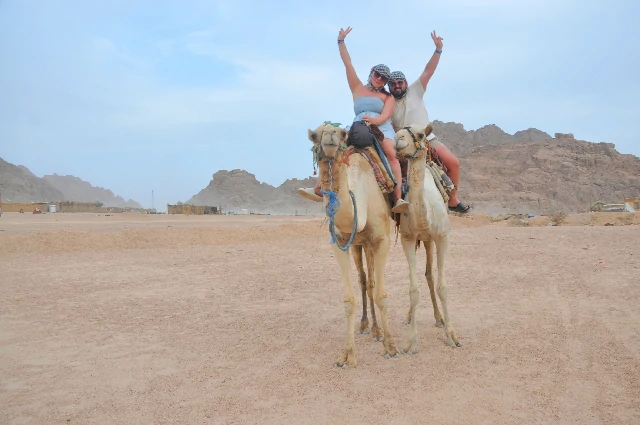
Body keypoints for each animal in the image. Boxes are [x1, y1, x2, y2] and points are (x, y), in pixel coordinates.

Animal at [308, 122, 399, 368]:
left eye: (342, 133)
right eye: (314, 135)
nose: (330, 135)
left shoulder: (382, 240)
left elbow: (382, 295)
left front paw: (391, 347)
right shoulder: (339, 243)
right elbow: (349, 300)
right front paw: (347, 355)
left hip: (371, 243)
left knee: (372, 282)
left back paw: (379, 331)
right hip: (359, 244)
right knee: (364, 280)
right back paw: (368, 326)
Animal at [394, 123, 462, 353]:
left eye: (421, 134)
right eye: (398, 132)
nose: (398, 138)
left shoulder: (442, 237)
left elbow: (443, 287)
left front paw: (452, 336)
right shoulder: (407, 238)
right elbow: (413, 290)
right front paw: (411, 342)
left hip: (430, 240)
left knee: (430, 274)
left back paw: (439, 319)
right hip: (421, 240)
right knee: (425, 275)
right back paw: (409, 317)